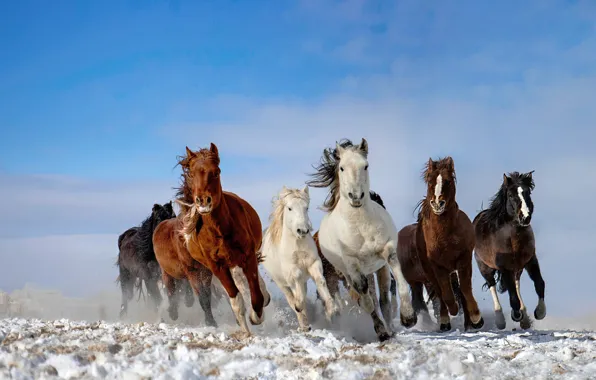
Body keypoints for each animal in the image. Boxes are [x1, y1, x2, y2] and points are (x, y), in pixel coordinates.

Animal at [173, 143, 272, 336]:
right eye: (191, 174)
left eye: (216, 171)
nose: (203, 201)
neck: (219, 232)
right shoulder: (217, 267)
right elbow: (235, 298)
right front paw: (245, 330)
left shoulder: (248, 256)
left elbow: (255, 293)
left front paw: (256, 316)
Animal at [260, 184, 340, 330]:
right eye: (289, 208)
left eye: (306, 207)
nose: (302, 230)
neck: (298, 245)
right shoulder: (291, 270)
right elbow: (297, 282)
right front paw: (299, 305)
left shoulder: (314, 263)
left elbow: (320, 280)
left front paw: (332, 309)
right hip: (282, 283)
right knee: (291, 299)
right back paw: (303, 323)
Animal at [304, 137, 416, 342]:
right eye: (341, 167)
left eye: (365, 165)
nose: (356, 197)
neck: (360, 225)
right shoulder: (352, 267)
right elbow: (366, 300)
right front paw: (380, 331)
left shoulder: (387, 252)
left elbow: (400, 282)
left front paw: (408, 317)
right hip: (347, 273)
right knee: (367, 298)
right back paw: (383, 330)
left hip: (378, 269)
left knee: (384, 299)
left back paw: (391, 328)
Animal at [414, 156, 484, 332]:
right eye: (430, 181)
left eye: (447, 181)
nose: (437, 204)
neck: (445, 236)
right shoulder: (438, 266)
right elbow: (446, 293)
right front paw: (452, 311)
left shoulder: (464, 259)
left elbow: (465, 289)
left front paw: (476, 318)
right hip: (430, 271)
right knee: (440, 292)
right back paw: (445, 321)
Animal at [472, 172, 548, 330]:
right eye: (511, 196)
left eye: (527, 192)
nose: (525, 217)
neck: (513, 238)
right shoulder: (505, 267)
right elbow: (512, 296)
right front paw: (516, 314)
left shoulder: (531, 260)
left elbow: (539, 283)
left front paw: (539, 312)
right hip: (485, 267)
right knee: (492, 285)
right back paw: (501, 320)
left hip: (518, 268)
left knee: (517, 284)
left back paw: (524, 319)